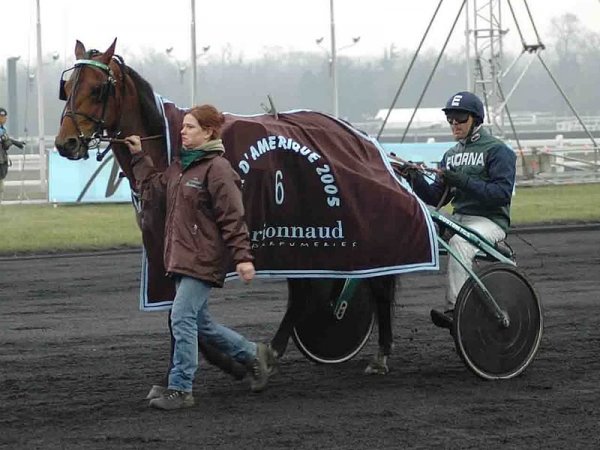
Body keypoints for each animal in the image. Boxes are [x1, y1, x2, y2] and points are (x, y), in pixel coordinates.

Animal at [54, 39, 406, 384]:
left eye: (98, 89)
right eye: (67, 87)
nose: (65, 143)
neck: (169, 149)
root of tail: (355, 134)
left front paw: (228, 363)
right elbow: (180, 311)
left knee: (367, 283)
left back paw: (375, 354)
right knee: (310, 290)